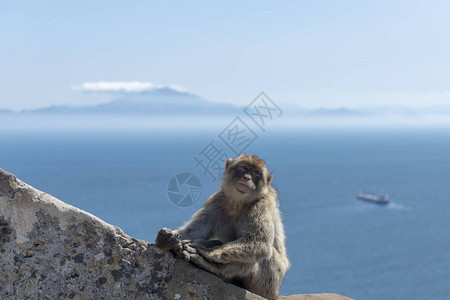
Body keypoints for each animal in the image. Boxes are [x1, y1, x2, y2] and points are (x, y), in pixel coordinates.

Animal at [155, 154, 288, 298]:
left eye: (256, 173)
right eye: (243, 167)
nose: (247, 177)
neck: (238, 202)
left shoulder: (262, 205)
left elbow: (259, 244)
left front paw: (206, 252)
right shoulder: (216, 200)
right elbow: (193, 232)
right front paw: (165, 239)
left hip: (269, 283)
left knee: (259, 253)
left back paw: (212, 267)